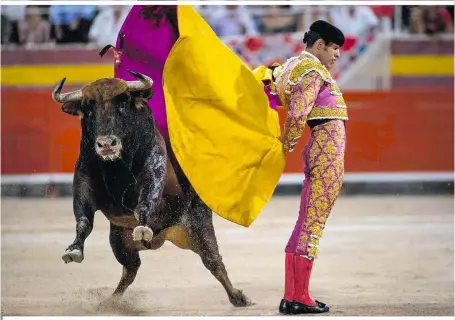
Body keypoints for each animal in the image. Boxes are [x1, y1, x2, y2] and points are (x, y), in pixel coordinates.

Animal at [54, 70, 255, 308]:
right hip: (119, 240)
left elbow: (144, 204)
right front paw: (74, 250)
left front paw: (142, 228)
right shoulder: (83, 184)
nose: (106, 144)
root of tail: (162, 237)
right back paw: (111, 302)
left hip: (199, 225)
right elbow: (84, 220)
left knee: (213, 261)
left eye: (123, 104)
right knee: (130, 270)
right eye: (87, 108)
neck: (115, 168)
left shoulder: (153, 174)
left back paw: (238, 297)